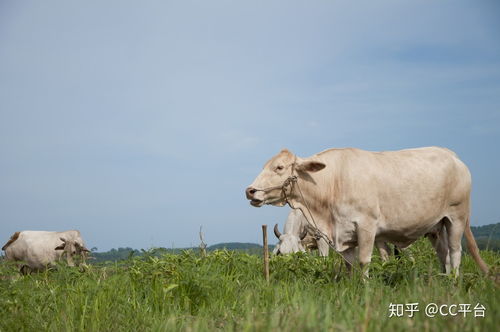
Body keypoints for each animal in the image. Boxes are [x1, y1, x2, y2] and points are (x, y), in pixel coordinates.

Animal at [246, 147, 488, 274]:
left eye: (279, 167)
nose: (250, 191)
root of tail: (453, 156)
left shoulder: (366, 227)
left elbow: (363, 262)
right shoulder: (343, 235)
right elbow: (349, 265)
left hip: (456, 218)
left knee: (455, 252)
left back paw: (454, 281)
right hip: (436, 227)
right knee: (443, 254)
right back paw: (444, 278)